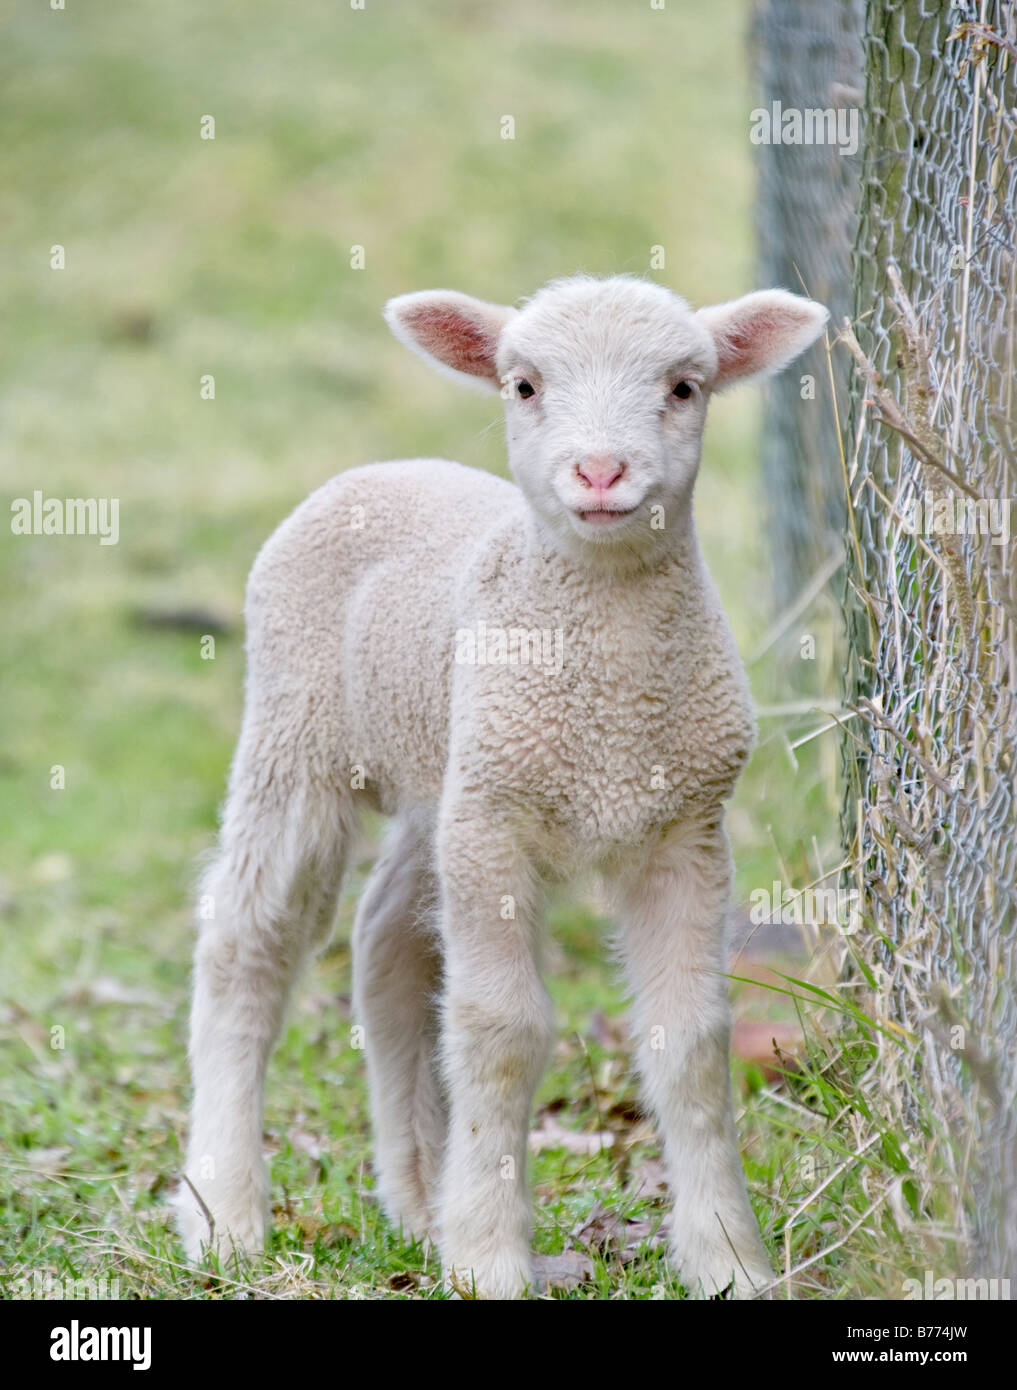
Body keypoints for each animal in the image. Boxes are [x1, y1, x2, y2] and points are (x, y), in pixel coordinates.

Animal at [174, 273, 828, 1299]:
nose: (599, 472)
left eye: (684, 387)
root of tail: (387, 468)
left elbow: (690, 1043)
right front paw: (489, 1257)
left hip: (438, 772)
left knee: (387, 940)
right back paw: (225, 1215)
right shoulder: (494, 825)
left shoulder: (683, 829)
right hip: (299, 734)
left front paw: (729, 1260)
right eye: (523, 386)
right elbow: (501, 1030)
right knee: (247, 946)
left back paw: (416, 1202)